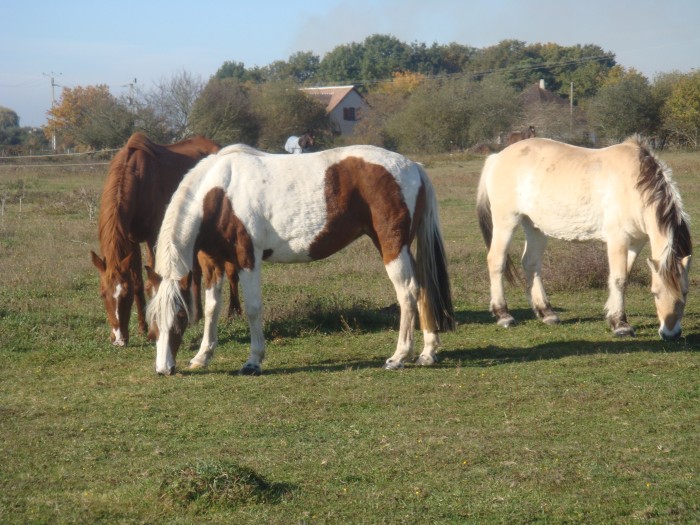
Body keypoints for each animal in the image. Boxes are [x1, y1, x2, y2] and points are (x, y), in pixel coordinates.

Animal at [89, 131, 238, 346]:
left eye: (125, 294)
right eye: (102, 294)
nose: (118, 339)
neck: (138, 179)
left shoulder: (153, 237)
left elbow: (152, 283)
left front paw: (153, 330)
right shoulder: (131, 240)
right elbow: (138, 282)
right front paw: (142, 327)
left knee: (231, 269)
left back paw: (233, 313)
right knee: (197, 272)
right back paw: (196, 316)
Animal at [147, 143, 454, 372]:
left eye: (179, 317)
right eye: (153, 320)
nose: (163, 369)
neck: (219, 192)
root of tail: (414, 166)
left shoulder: (248, 258)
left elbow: (253, 308)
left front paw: (253, 361)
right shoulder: (212, 263)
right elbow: (212, 308)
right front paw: (202, 357)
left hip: (392, 247)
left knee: (408, 293)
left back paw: (399, 356)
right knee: (424, 289)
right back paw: (428, 353)